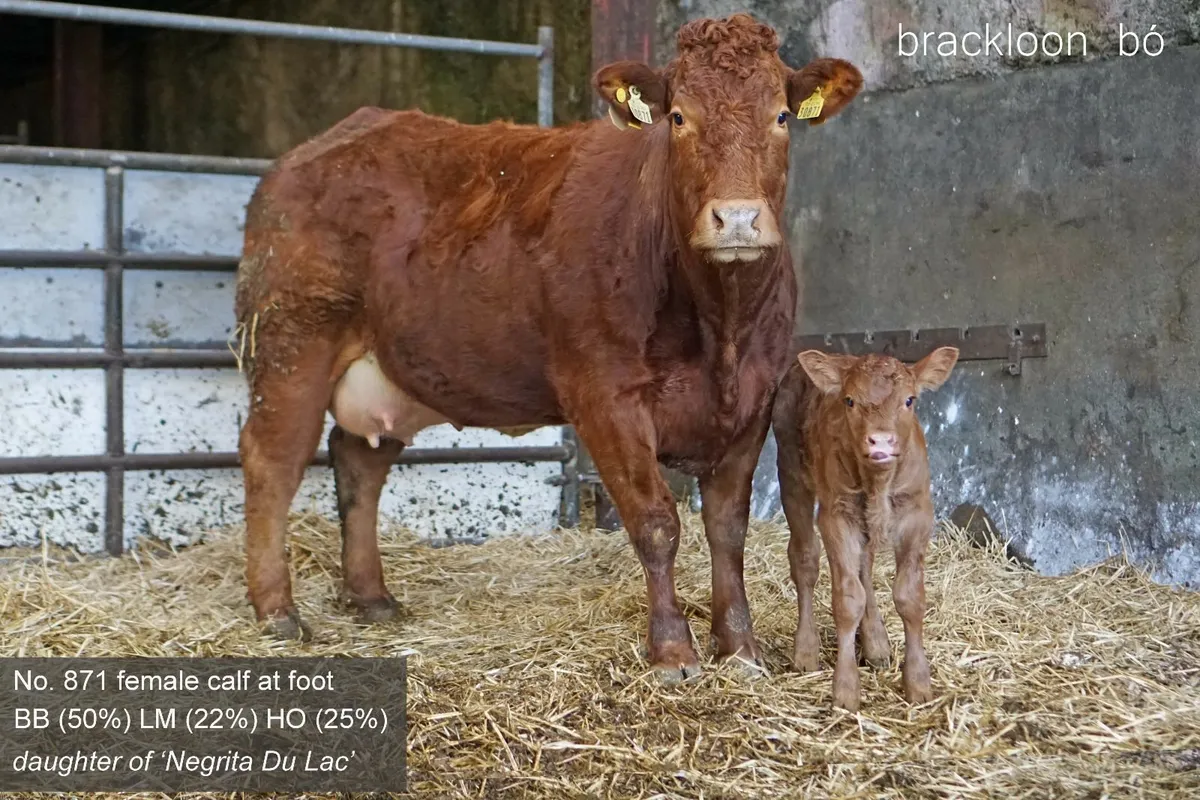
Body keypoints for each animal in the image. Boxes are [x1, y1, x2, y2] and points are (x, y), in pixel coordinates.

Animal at [233, 13, 863, 683]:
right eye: (678, 117)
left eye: (781, 116)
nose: (738, 219)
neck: (720, 329)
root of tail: (316, 148)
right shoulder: (604, 396)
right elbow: (656, 523)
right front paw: (672, 651)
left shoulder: (753, 397)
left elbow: (727, 528)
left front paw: (739, 648)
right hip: (291, 344)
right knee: (273, 461)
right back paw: (276, 611)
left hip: (387, 369)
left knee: (359, 460)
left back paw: (372, 598)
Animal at [772, 347, 960, 709]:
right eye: (849, 401)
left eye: (909, 400)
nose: (881, 441)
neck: (879, 485)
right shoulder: (836, 516)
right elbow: (847, 599)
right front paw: (845, 690)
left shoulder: (918, 514)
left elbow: (909, 596)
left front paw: (918, 682)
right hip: (790, 474)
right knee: (805, 559)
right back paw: (806, 650)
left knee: (865, 566)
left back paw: (875, 643)